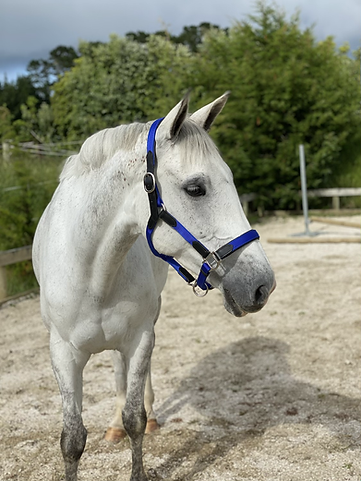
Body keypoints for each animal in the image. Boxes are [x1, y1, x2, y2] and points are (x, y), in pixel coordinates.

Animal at [33, 93, 274, 480]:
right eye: (195, 188)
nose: (262, 285)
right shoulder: (62, 353)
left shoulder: (140, 337)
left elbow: (135, 418)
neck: (93, 272)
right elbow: (72, 439)